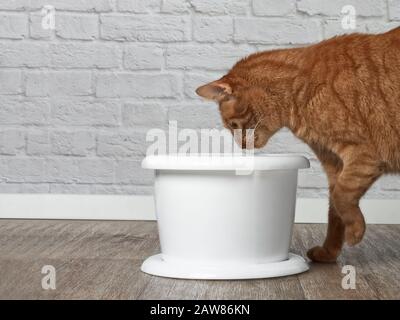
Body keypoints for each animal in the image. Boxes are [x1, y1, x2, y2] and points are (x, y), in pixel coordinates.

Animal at [195, 26, 400, 262]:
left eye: (233, 125)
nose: (242, 146)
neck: (299, 90)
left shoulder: (363, 155)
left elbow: (341, 196)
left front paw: (356, 232)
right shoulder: (334, 164)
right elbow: (334, 210)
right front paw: (328, 252)